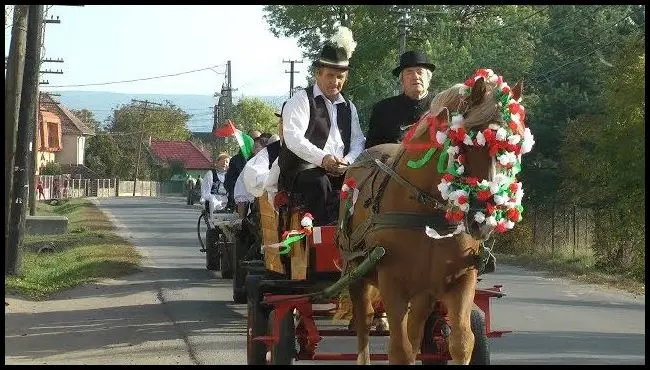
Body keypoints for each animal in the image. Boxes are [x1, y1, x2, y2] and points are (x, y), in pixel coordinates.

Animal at [336, 71, 524, 364]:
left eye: (513, 144)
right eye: (467, 141)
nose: (483, 219)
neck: (425, 214)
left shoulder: (460, 279)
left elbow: (462, 342)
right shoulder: (393, 282)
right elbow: (399, 350)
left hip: (423, 293)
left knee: (415, 335)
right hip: (357, 274)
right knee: (364, 326)